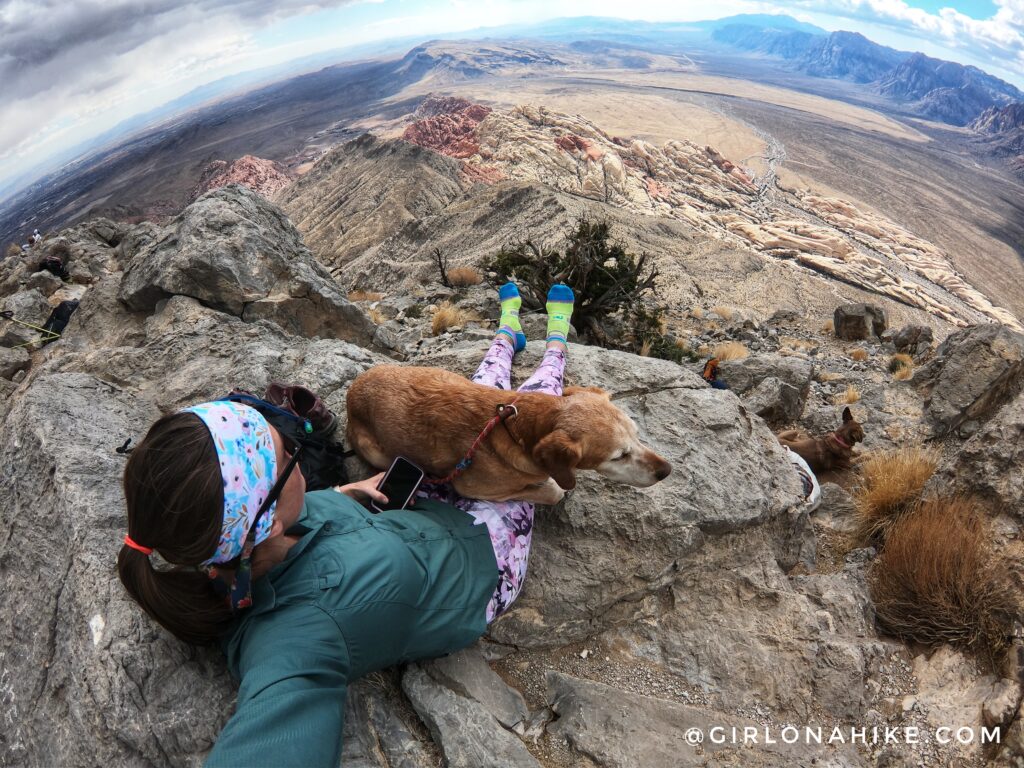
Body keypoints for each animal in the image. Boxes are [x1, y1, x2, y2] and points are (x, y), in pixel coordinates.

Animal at [348, 364, 675, 505]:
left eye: (637, 434)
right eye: (619, 456)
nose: (667, 471)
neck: (521, 430)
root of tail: (352, 390)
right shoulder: (472, 488)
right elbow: (553, 490)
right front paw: (553, 488)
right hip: (376, 452)